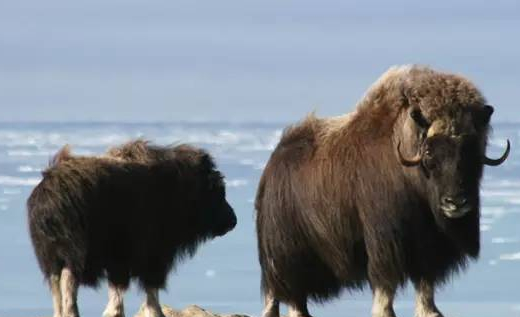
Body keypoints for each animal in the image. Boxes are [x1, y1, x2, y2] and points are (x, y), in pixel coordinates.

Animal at [29, 141, 237, 316]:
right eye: (218, 191)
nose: (233, 221)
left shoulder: (121, 261)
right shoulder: (150, 256)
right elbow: (148, 291)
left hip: (51, 257)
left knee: (57, 287)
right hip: (76, 254)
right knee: (68, 284)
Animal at [256, 65, 508, 316]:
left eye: (472, 149)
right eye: (429, 152)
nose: (455, 202)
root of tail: (272, 164)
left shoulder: (429, 252)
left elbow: (426, 296)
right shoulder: (386, 244)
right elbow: (385, 293)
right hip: (287, 258)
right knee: (292, 299)